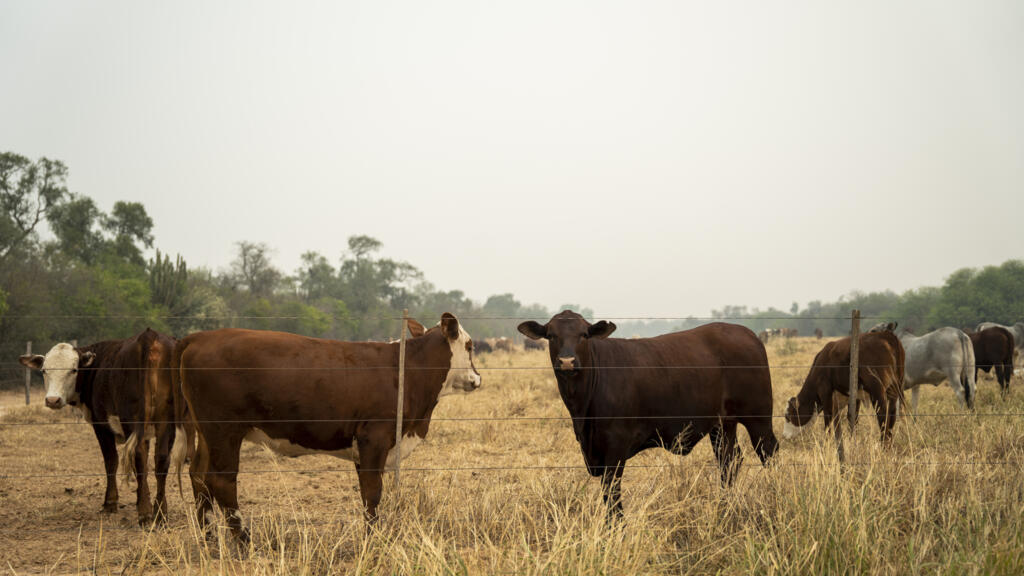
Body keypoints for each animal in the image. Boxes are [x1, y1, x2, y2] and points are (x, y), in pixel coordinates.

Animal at [18, 327, 177, 524]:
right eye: (44, 371)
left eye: (73, 370)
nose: (53, 400)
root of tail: (149, 336)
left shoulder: (101, 426)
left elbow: (111, 461)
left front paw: (110, 503)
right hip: (166, 422)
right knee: (161, 459)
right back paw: (161, 513)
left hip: (132, 421)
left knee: (138, 457)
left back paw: (145, 513)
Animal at [169, 311, 481, 541]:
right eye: (470, 346)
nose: (477, 379)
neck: (407, 370)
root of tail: (199, 337)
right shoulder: (374, 438)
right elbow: (373, 492)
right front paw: (373, 539)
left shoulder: (362, 446)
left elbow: (366, 494)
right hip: (224, 431)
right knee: (221, 481)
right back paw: (244, 540)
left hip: (208, 434)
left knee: (198, 476)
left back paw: (210, 539)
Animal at [520, 309, 774, 516]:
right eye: (551, 335)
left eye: (583, 334)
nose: (567, 361)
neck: (582, 409)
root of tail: (747, 333)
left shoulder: (615, 445)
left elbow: (612, 493)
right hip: (722, 424)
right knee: (729, 460)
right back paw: (724, 506)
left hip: (759, 417)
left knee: (767, 451)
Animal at [782, 330, 905, 459]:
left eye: (787, 416)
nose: (784, 436)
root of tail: (886, 334)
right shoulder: (853, 396)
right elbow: (852, 418)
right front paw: (852, 442)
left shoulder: (825, 392)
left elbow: (828, 421)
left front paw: (826, 444)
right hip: (894, 388)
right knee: (892, 414)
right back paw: (888, 445)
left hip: (877, 389)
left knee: (883, 415)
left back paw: (883, 446)